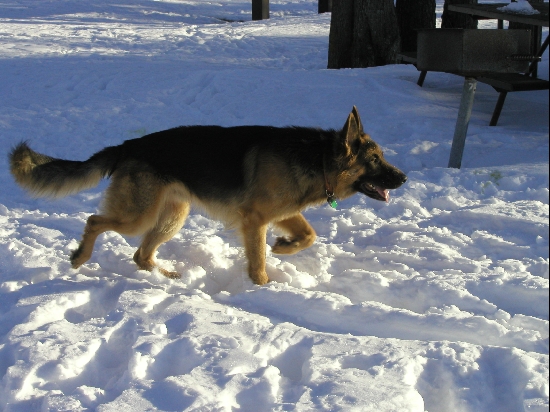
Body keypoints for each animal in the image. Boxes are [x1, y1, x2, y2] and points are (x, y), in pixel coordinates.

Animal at [7, 108, 406, 284]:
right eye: (374, 160)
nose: (404, 177)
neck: (319, 160)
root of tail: (128, 146)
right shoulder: (255, 221)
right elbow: (258, 262)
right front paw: (262, 285)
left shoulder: (278, 214)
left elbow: (309, 234)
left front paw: (283, 247)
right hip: (138, 217)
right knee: (94, 221)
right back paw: (80, 257)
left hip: (171, 217)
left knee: (140, 255)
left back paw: (165, 276)